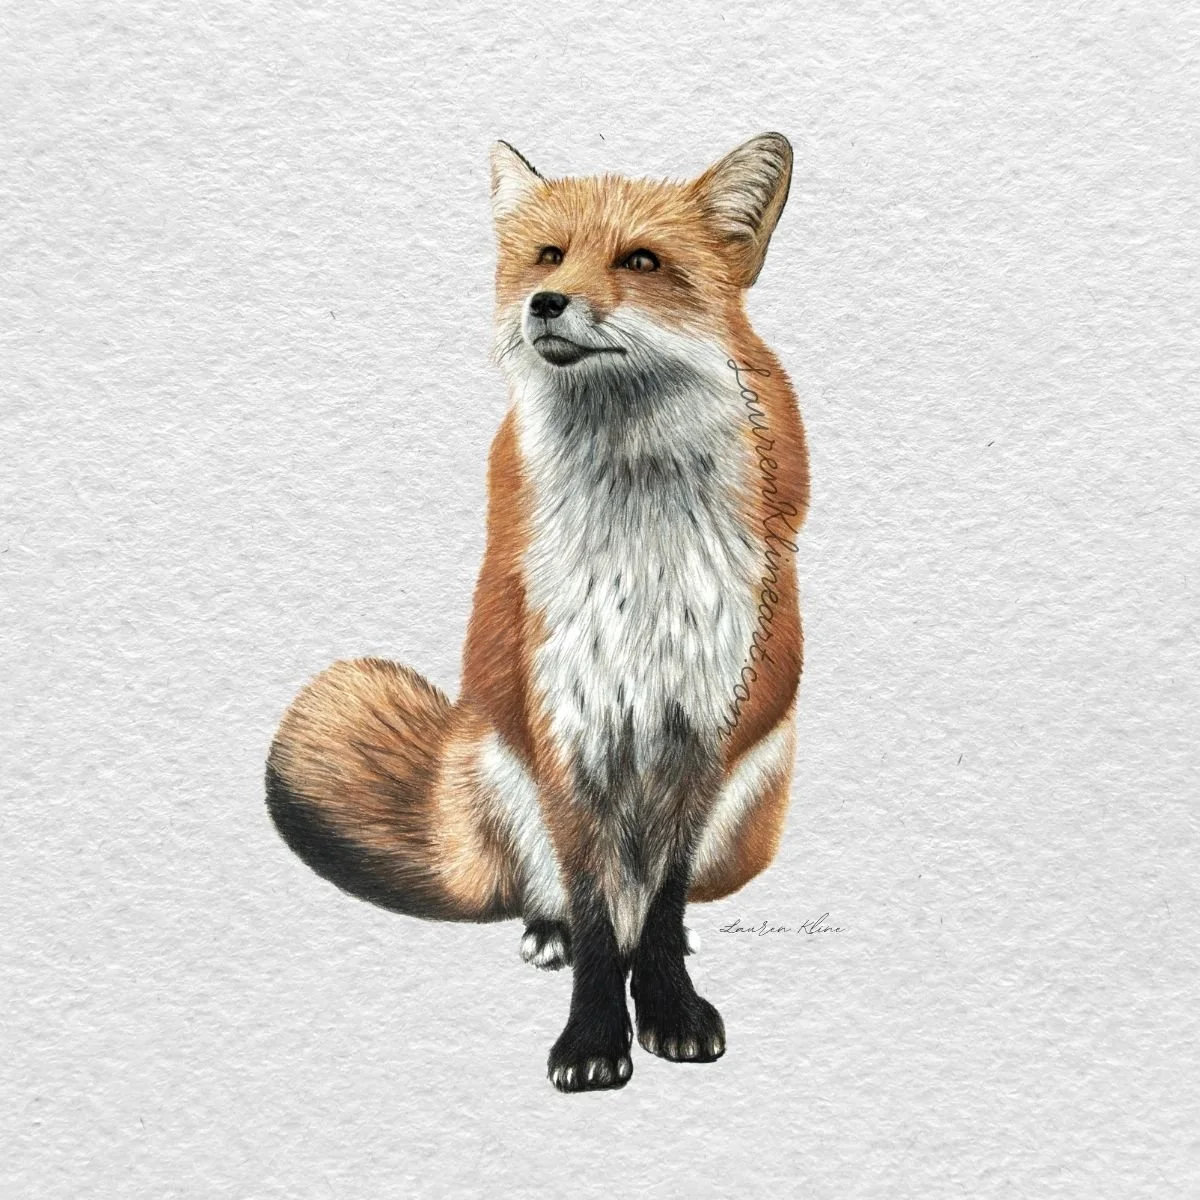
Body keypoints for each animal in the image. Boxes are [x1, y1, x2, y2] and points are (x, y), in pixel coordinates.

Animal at [265, 132, 810, 1093]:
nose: (545, 303)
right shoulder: (566, 718)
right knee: (560, 891)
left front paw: (668, 1011)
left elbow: (659, 909)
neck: (639, 536)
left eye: (640, 262)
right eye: (549, 256)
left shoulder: (703, 721)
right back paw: (551, 931)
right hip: (506, 776)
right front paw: (594, 1038)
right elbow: (594, 912)